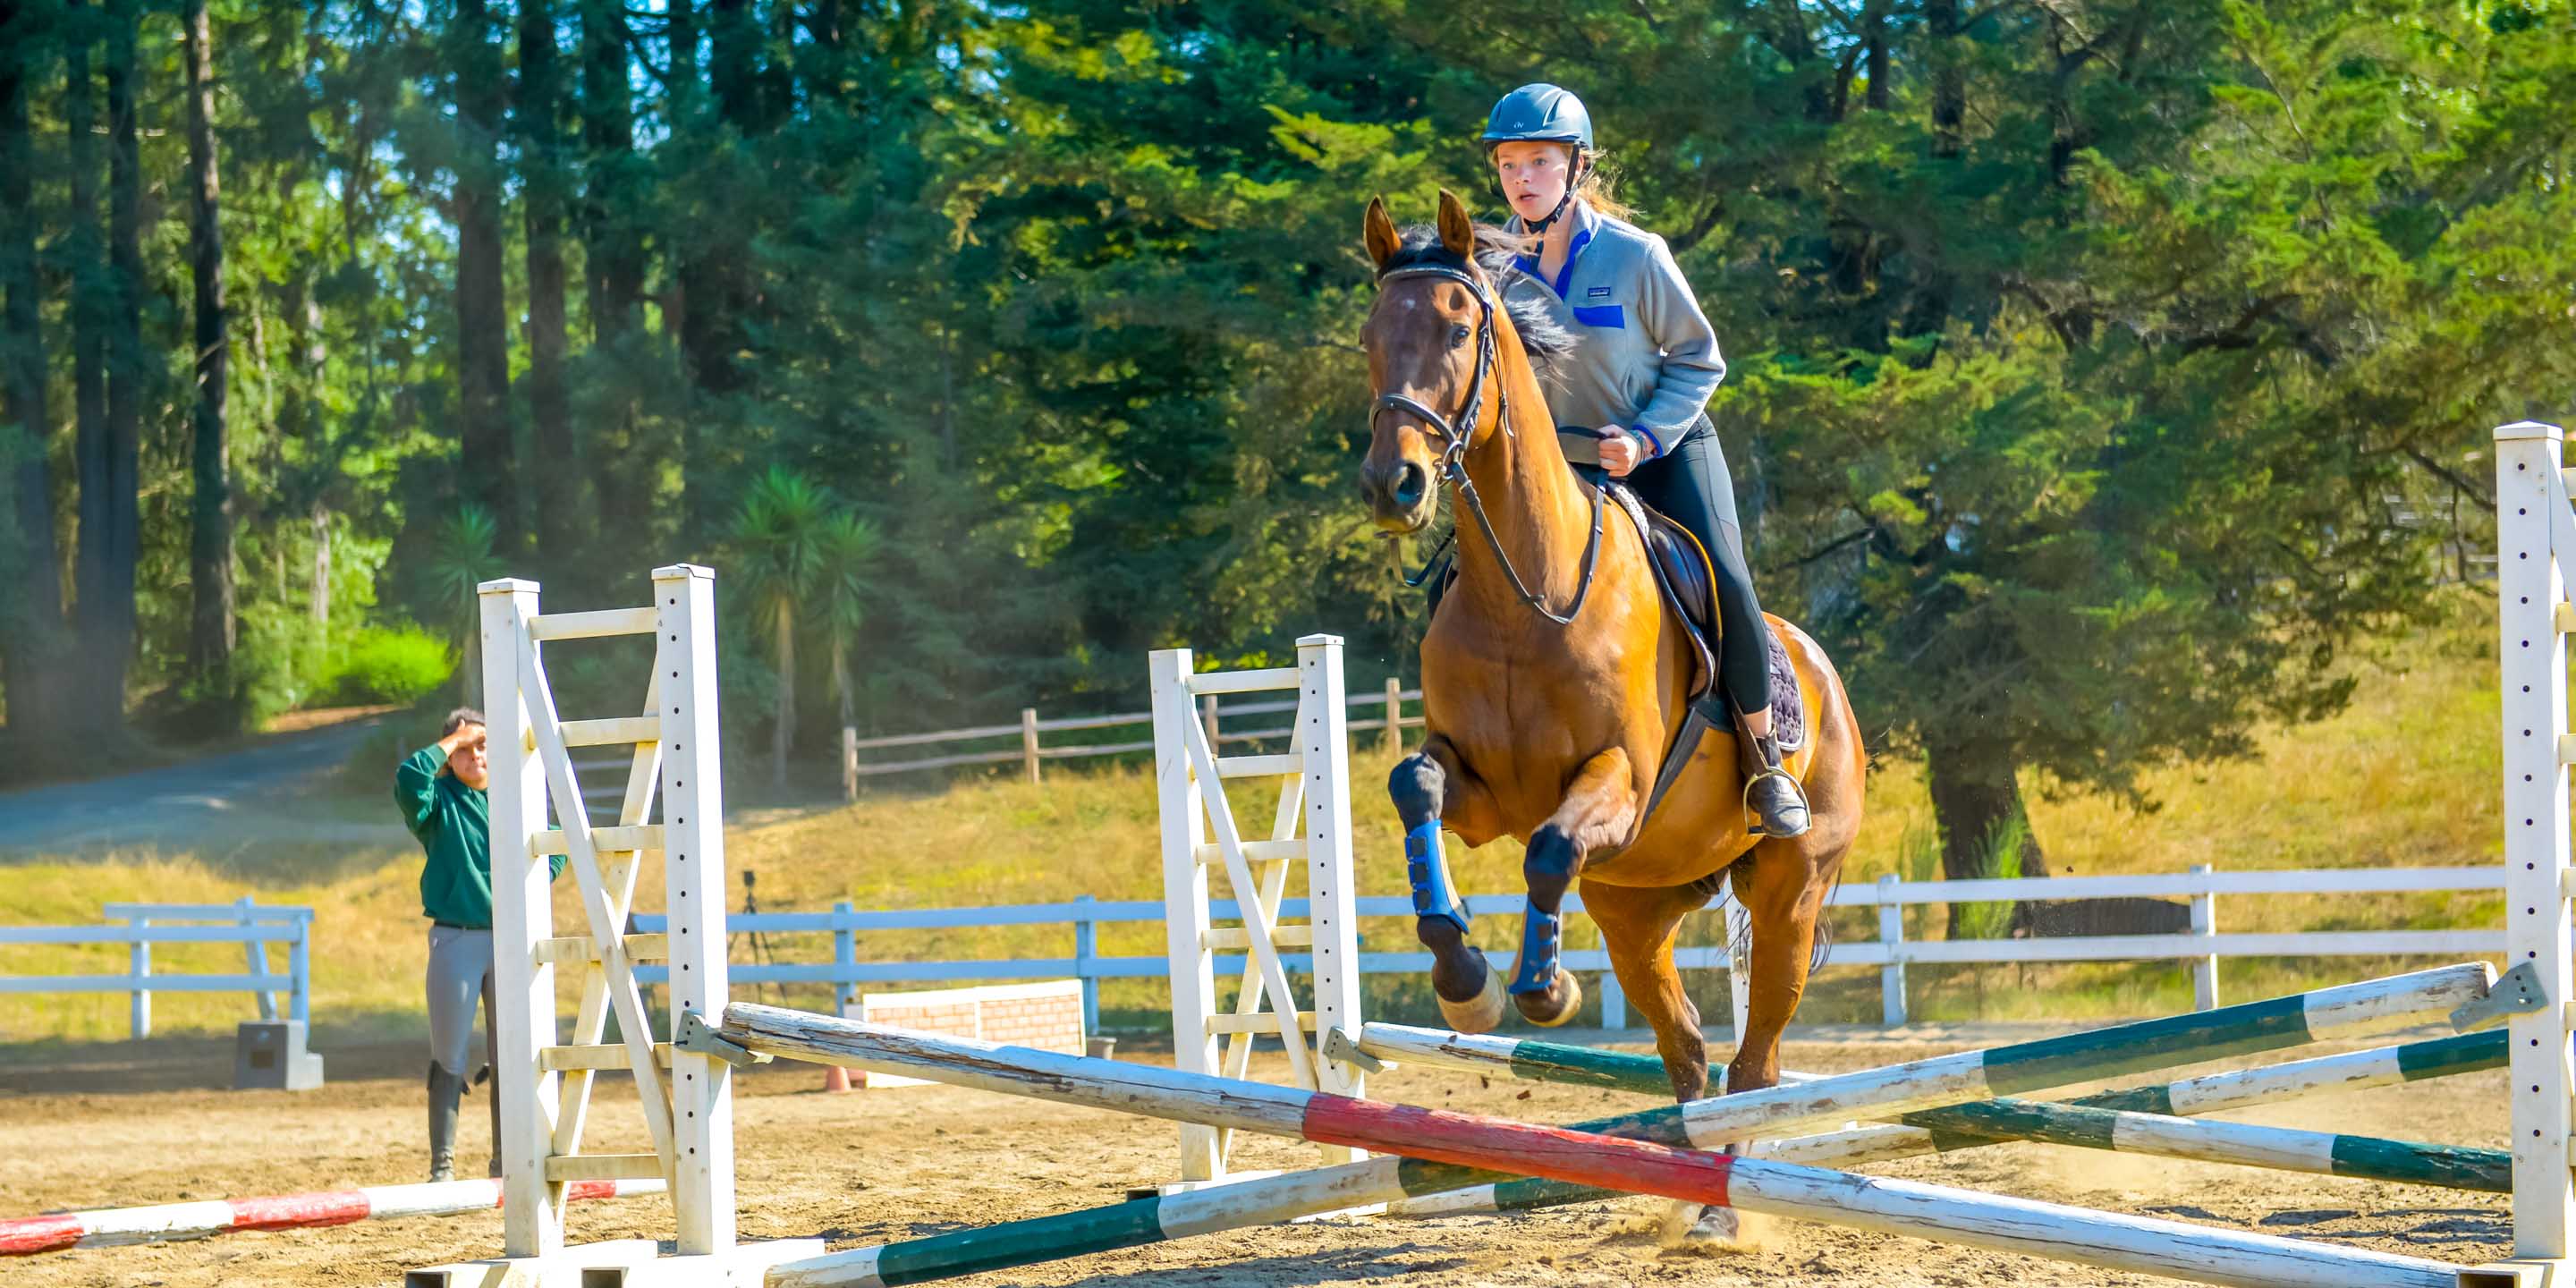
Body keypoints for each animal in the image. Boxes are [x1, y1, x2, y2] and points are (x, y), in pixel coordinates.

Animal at [1360, 191, 1865, 1225]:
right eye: (1368, 339)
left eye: (1460, 328)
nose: (1395, 486)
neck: (1526, 591)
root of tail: (1822, 672)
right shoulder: (1478, 788)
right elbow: (1413, 787)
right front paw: (1464, 980)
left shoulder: (1616, 783)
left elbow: (1551, 847)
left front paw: (1542, 992)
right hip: (1636, 904)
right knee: (1687, 1050)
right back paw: (1690, 1190)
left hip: (1789, 893)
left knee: (1756, 1063)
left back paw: (1721, 1210)